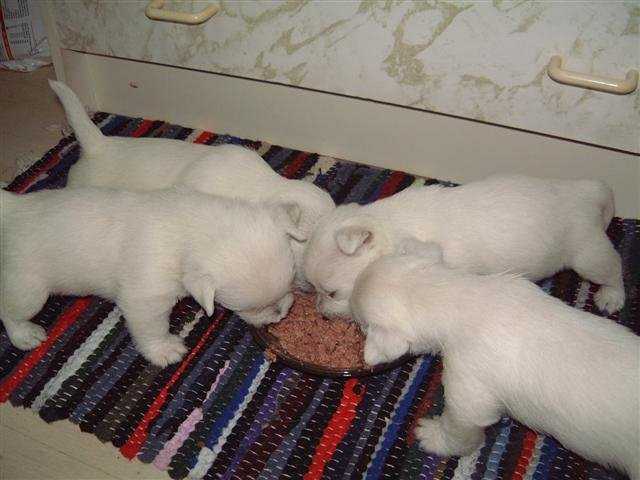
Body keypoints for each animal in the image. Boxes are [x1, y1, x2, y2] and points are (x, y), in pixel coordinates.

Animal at [1, 187, 301, 367]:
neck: (191, 228)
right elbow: (152, 328)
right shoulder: (146, 298)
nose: (282, 312)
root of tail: (13, 208)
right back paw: (25, 335)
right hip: (29, 291)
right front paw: (165, 350)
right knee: (9, 311)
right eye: (252, 308)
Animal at [304, 174, 624, 318]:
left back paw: (612, 297)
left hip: (587, 255)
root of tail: (585, 190)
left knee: (615, 267)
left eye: (332, 293)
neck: (387, 226)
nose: (321, 312)